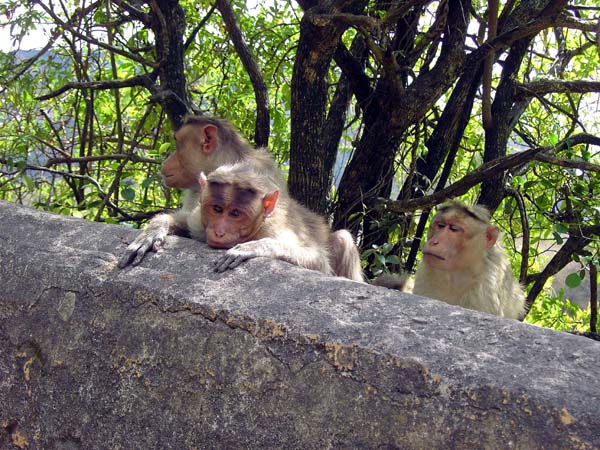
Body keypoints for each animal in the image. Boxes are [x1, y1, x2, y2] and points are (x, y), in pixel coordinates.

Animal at [186, 160, 366, 282]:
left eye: (235, 213)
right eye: (217, 209)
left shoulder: (274, 229)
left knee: (343, 238)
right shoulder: (196, 222)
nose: (219, 232)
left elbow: (320, 263)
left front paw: (258, 247)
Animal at [376, 200, 524, 320]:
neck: (457, 274)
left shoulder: (486, 289)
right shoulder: (426, 274)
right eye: (441, 225)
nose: (434, 242)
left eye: (454, 229)